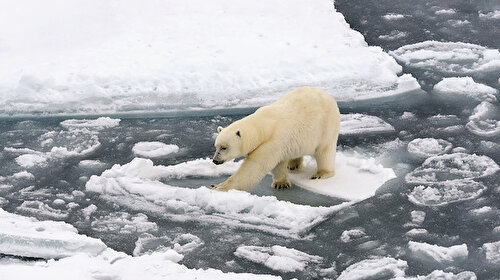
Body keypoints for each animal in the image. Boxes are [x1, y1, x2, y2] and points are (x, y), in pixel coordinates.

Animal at [211, 87, 340, 191]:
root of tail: (328, 95)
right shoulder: (279, 144)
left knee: (325, 152)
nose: (215, 160)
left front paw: (219, 186)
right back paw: (293, 164)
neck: (263, 126)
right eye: (216, 146)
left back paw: (321, 173)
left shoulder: (274, 141)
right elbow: (279, 164)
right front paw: (281, 183)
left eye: (224, 147)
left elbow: (254, 167)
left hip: (326, 127)